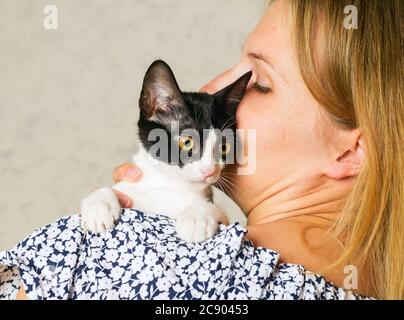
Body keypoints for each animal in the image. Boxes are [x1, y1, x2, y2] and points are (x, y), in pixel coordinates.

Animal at [80, 60, 251, 242]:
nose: (209, 171)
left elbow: (217, 211)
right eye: (186, 141)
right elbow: (109, 189)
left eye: (224, 147)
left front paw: (198, 217)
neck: (167, 185)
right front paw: (98, 205)